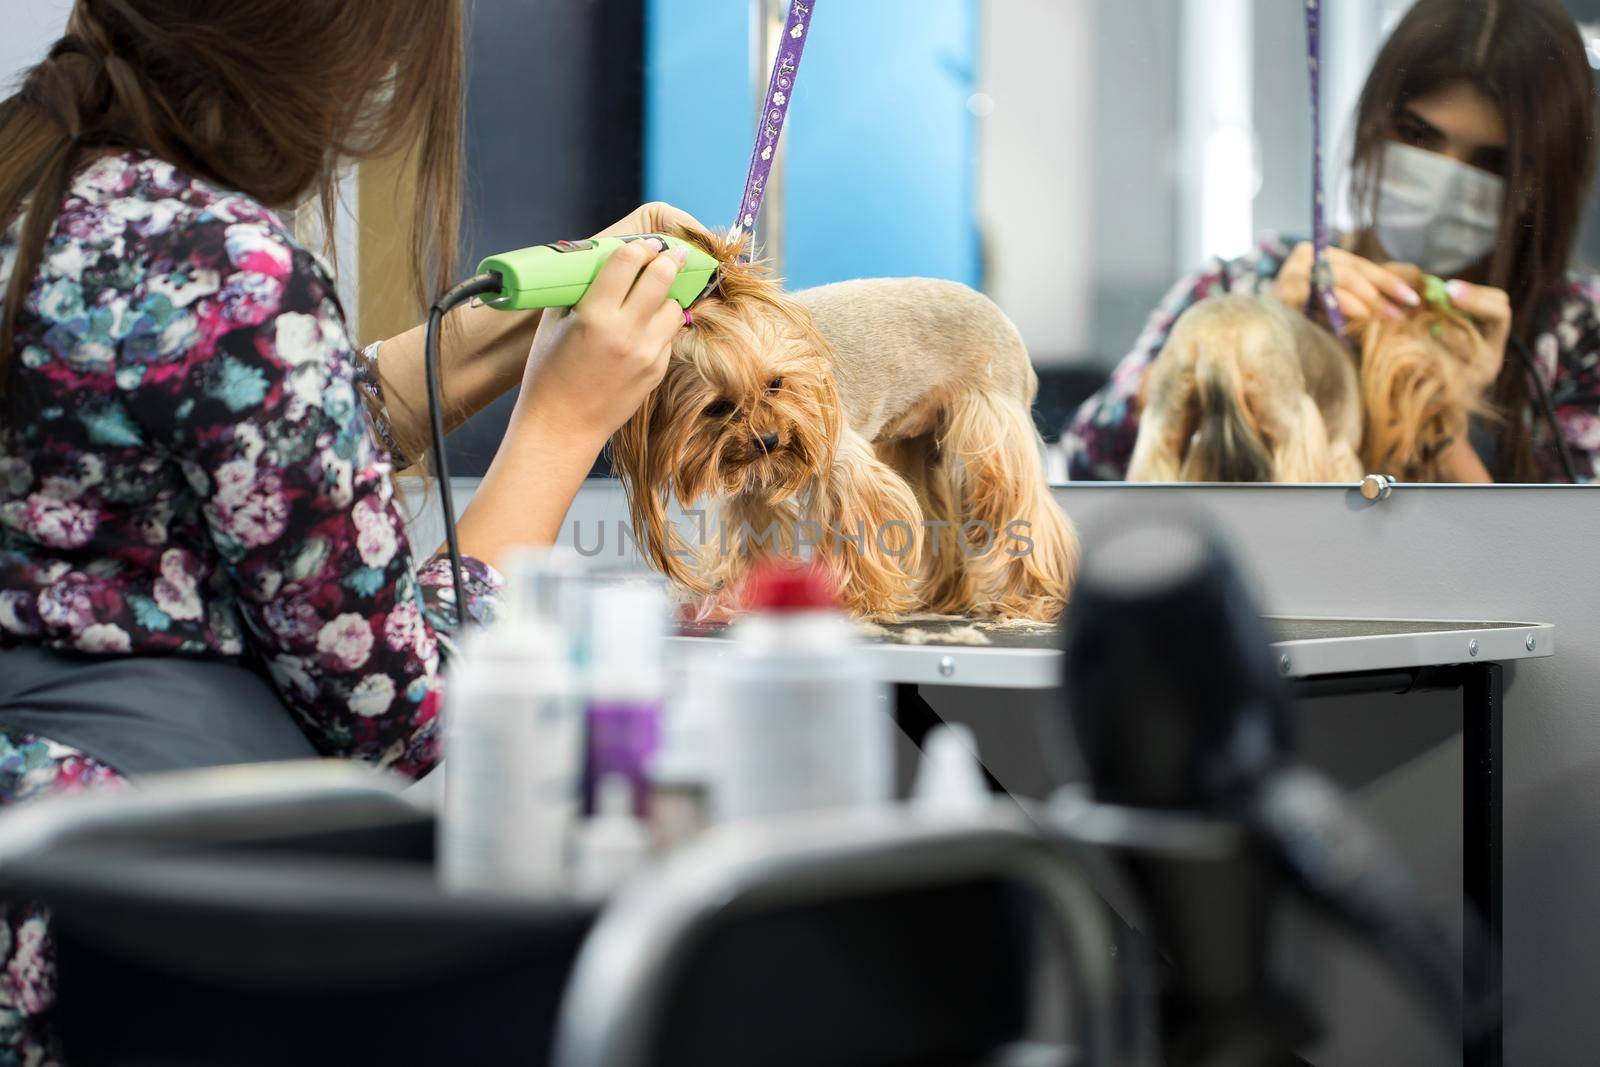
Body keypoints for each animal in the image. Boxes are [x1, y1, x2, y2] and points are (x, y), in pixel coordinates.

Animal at [608, 227, 1075, 627]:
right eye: (718, 407)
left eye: (776, 383)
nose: (770, 440)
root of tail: (1000, 315)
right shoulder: (752, 490)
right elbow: (752, 540)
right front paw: (740, 597)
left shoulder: (841, 463)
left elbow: (858, 526)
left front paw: (856, 601)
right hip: (917, 444)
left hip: (990, 426)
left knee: (1021, 508)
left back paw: (1034, 597)